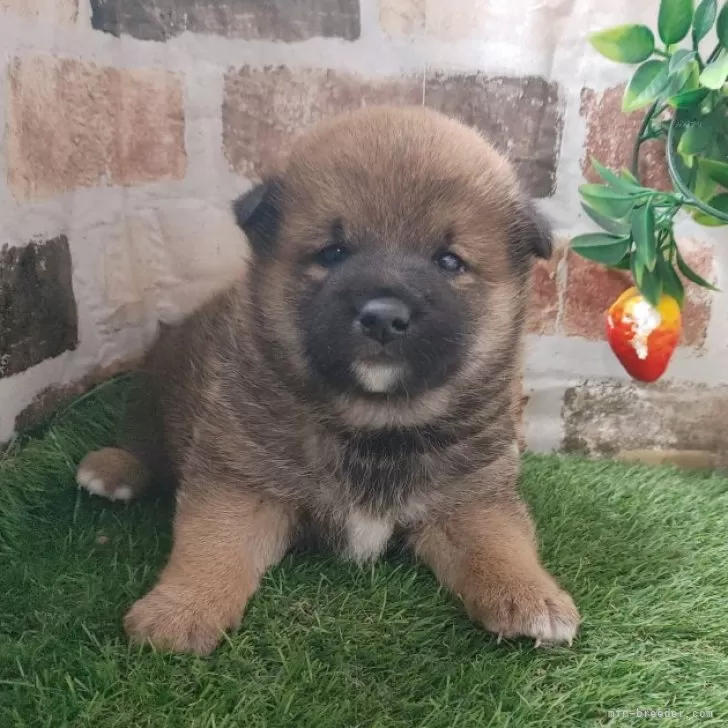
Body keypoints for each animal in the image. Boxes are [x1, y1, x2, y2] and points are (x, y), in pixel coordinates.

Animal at [77, 104, 576, 656]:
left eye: (449, 261)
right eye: (333, 253)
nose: (383, 316)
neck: (375, 419)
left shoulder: (473, 498)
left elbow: (503, 545)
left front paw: (533, 597)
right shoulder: (241, 482)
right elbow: (211, 547)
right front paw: (181, 610)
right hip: (156, 396)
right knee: (145, 446)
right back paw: (113, 470)